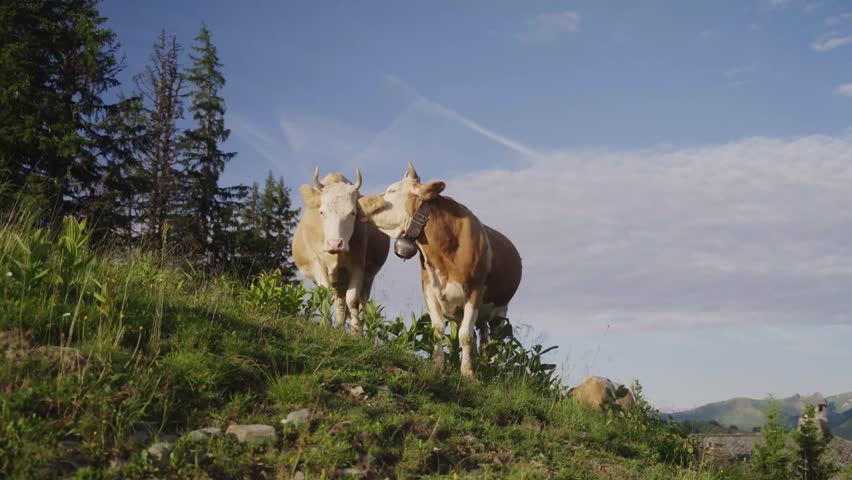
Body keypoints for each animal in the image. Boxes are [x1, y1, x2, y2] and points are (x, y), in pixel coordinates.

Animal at [292, 167, 390, 336]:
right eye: (322, 212)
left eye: (352, 213)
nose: (335, 244)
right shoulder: (318, 264)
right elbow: (325, 294)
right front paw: (325, 325)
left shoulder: (358, 266)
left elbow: (353, 299)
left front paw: (357, 333)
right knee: (339, 303)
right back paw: (339, 327)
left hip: (368, 278)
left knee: (360, 303)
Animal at [358, 163, 522, 379]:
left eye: (392, 190)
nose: (359, 202)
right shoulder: (429, 289)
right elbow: (438, 330)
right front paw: (438, 366)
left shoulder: (475, 292)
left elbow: (465, 336)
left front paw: (468, 373)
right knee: (483, 339)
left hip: (501, 311)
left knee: (496, 341)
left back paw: (492, 370)